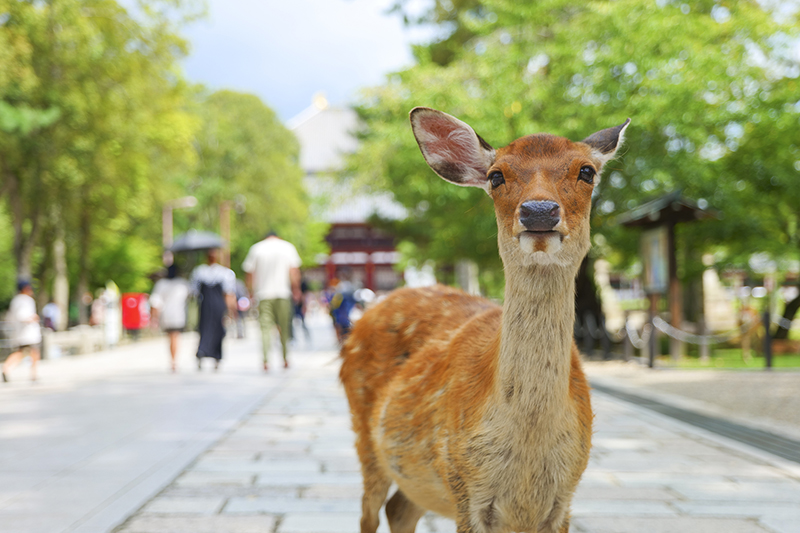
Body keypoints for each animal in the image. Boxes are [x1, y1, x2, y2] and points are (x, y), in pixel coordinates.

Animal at [340, 107, 630, 533]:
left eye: (587, 171)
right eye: (496, 176)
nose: (538, 211)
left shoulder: (565, 497)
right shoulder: (464, 487)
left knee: (399, 508)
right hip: (365, 435)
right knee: (369, 512)